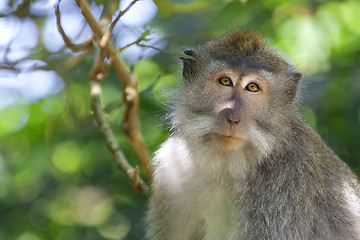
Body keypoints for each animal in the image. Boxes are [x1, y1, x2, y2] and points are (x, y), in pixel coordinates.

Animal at [144, 30, 360, 240]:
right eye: (225, 81)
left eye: (252, 87)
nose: (233, 117)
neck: (228, 167)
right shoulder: (172, 173)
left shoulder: (284, 189)